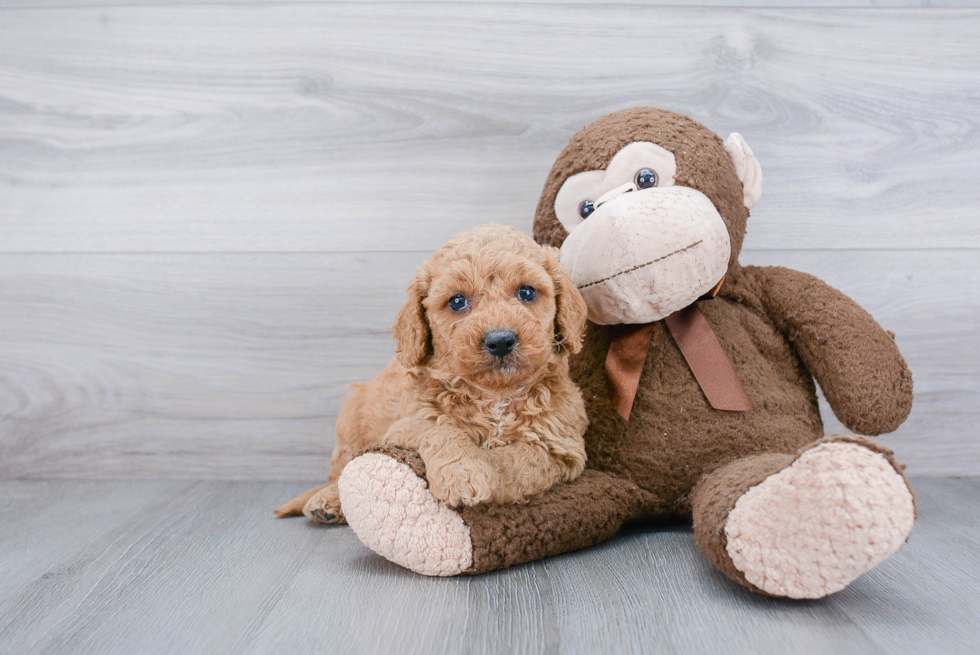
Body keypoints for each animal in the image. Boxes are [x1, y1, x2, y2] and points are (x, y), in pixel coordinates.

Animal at [280, 223, 592, 524]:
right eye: (457, 301)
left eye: (527, 292)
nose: (500, 340)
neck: (494, 395)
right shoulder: (407, 424)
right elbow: (442, 428)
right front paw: (463, 472)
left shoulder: (560, 447)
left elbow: (516, 460)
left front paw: (486, 474)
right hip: (350, 427)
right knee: (342, 471)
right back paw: (327, 500)